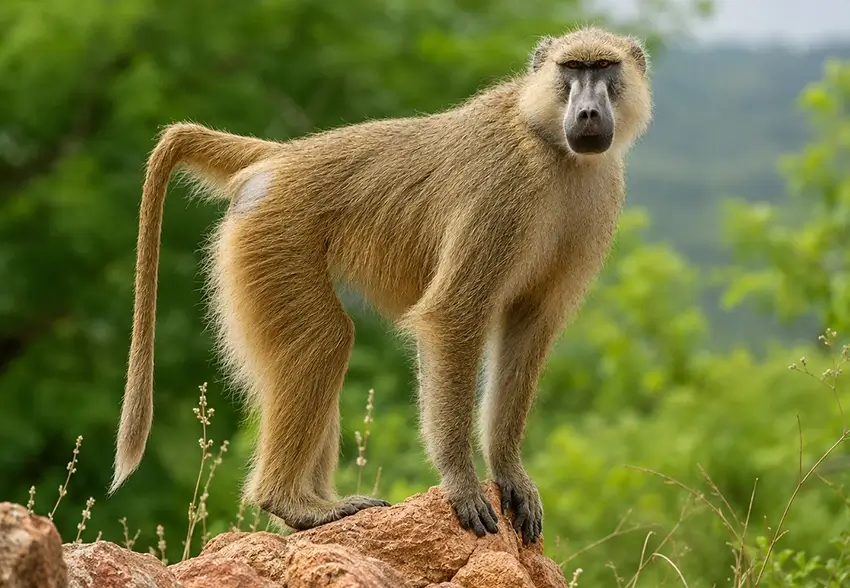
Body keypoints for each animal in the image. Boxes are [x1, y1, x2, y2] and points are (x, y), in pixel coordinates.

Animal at [108, 25, 653, 546]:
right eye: (572, 69)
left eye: (604, 68)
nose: (587, 112)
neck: (551, 146)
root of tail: (282, 157)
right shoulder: (504, 191)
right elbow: (452, 315)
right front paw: (461, 483)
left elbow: (529, 324)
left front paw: (509, 473)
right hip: (274, 234)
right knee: (324, 340)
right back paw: (295, 504)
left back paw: (312, 505)